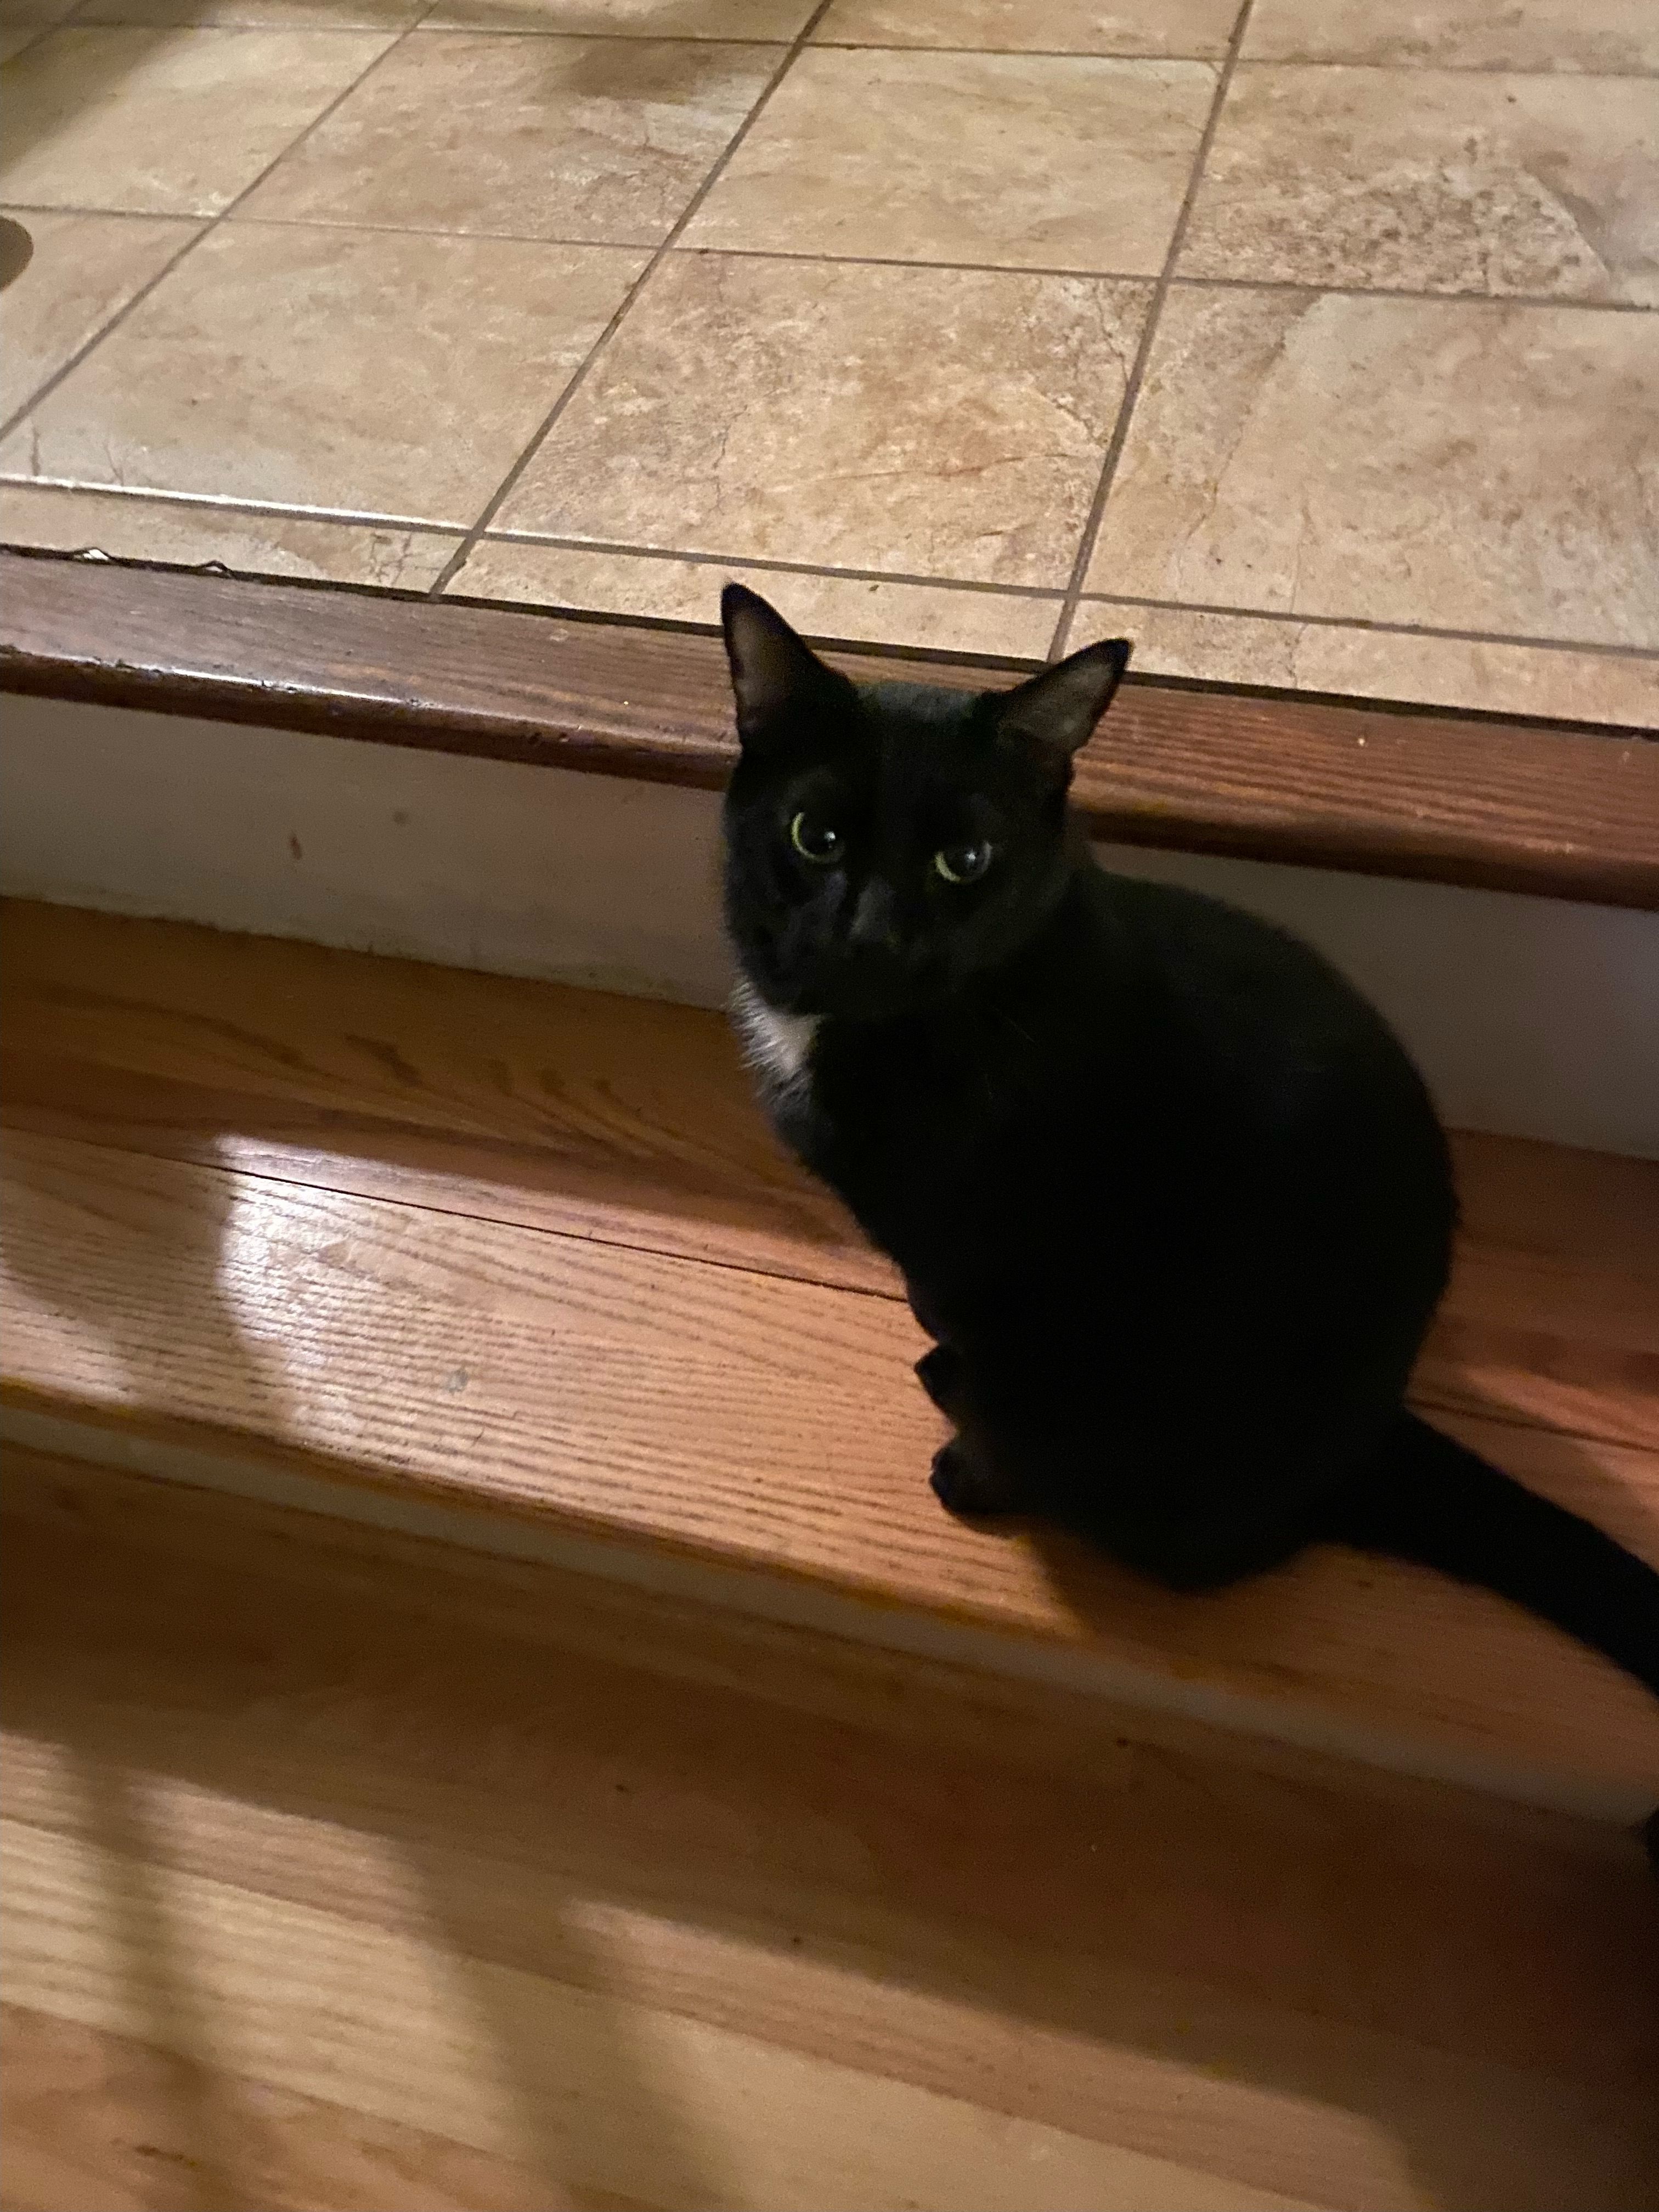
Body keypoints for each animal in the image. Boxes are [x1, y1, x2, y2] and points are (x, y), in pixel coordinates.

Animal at [718, 582, 1659, 1768]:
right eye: (818, 835)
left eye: (964, 860)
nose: (874, 931)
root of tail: (1371, 1441)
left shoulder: (1010, 1265)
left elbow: (997, 1381)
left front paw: (975, 1462)